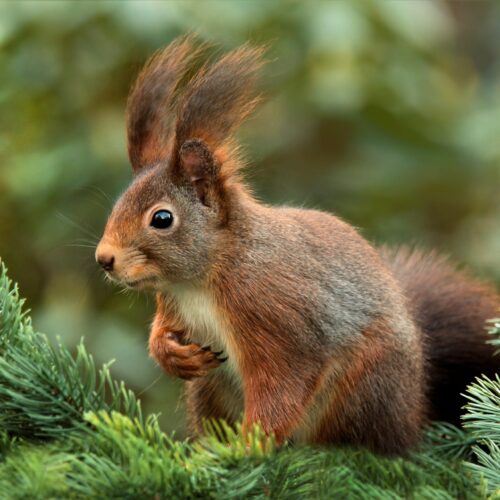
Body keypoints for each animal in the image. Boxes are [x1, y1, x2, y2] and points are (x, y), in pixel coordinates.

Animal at [95, 37, 498, 456]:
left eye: (162, 219)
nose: (104, 259)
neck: (203, 279)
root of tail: (412, 413)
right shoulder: (173, 303)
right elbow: (161, 331)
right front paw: (170, 353)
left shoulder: (276, 317)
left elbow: (282, 386)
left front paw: (248, 448)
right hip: (210, 388)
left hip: (363, 385)